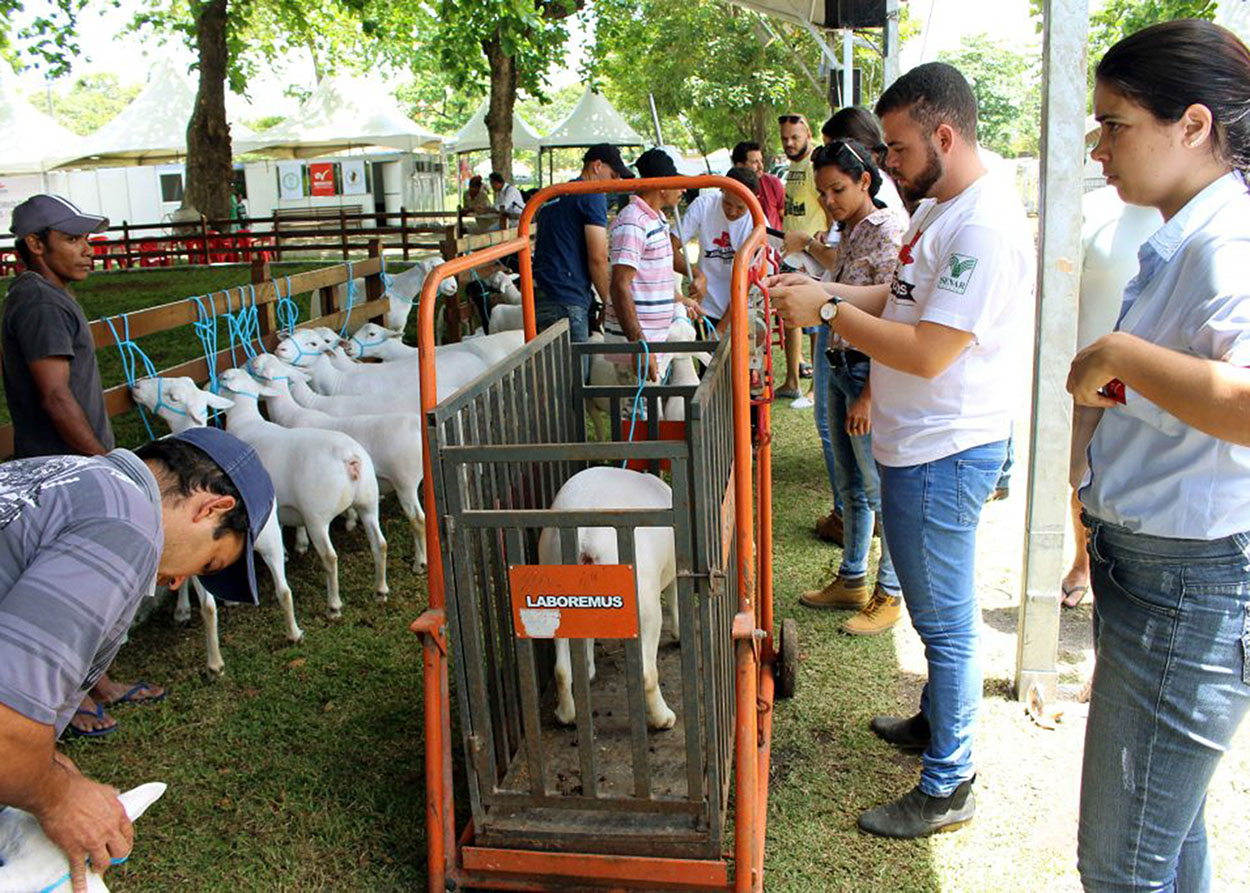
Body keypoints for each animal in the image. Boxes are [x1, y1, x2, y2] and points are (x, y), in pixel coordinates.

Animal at [130, 370, 302, 675]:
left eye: (173, 397)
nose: (137, 386)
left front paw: (184, 609)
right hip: (269, 536)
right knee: (284, 589)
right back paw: (293, 632)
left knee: (209, 608)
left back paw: (214, 663)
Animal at [217, 365, 387, 615]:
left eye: (223, 379)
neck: (245, 420)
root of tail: (350, 458)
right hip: (368, 500)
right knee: (379, 543)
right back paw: (381, 590)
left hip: (317, 515)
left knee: (330, 557)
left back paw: (334, 605)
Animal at [248, 350, 430, 567]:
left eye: (256, 367)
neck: (291, 413)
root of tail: (418, 426)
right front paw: (350, 519)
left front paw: (300, 543)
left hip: (405, 482)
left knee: (418, 519)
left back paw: (419, 562)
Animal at [535, 465, 680, 730]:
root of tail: (586, 538)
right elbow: (674, 597)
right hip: (643, 602)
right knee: (646, 672)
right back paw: (664, 718)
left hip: (554, 592)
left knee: (561, 668)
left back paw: (566, 714)